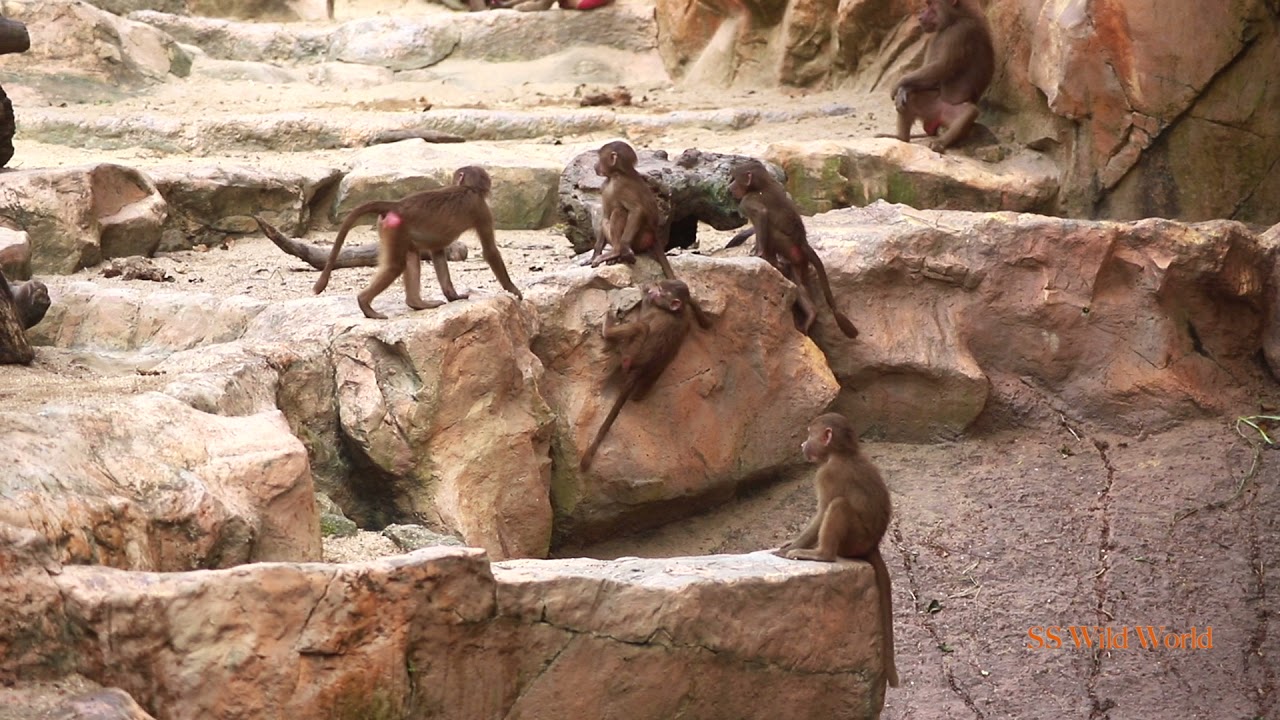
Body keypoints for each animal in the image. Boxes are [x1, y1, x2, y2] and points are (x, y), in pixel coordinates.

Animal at [313, 166, 522, 320]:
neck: (467, 188)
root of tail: (397, 205)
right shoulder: (481, 209)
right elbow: (490, 251)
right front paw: (514, 290)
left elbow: (437, 252)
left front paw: (453, 296)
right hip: (396, 228)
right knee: (395, 266)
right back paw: (365, 304)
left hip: (392, 229)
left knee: (410, 257)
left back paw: (417, 303)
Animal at [579, 279, 694, 471]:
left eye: (660, 290)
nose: (652, 289)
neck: (675, 313)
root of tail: (638, 369)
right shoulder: (686, 321)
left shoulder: (655, 311)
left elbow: (645, 314)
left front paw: (644, 293)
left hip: (629, 353)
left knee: (641, 327)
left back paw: (608, 331)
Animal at [727, 160, 859, 339]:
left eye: (735, 178)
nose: (729, 188)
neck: (762, 184)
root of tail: (802, 241)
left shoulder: (748, 201)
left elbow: (761, 214)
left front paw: (759, 253)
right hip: (799, 258)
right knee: (798, 283)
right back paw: (811, 314)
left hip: (784, 243)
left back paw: (772, 261)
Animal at [777, 412, 899, 690]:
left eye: (809, 433)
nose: (803, 444)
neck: (843, 453)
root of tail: (872, 544)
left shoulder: (826, 474)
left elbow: (823, 511)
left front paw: (793, 547)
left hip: (854, 541)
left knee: (838, 506)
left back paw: (821, 554)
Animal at [886, 0, 994, 153]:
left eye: (931, 4)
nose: (920, 17)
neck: (956, 18)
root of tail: (934, 121)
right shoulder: (935, 37)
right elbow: (930, 71)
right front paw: (903, 89)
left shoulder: (960, 31)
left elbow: (942, 67)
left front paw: (898, 85)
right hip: (931, 106)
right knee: (911, 99)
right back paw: (901, 140)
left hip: (948, 110)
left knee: (968, 113)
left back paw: (939, 143)